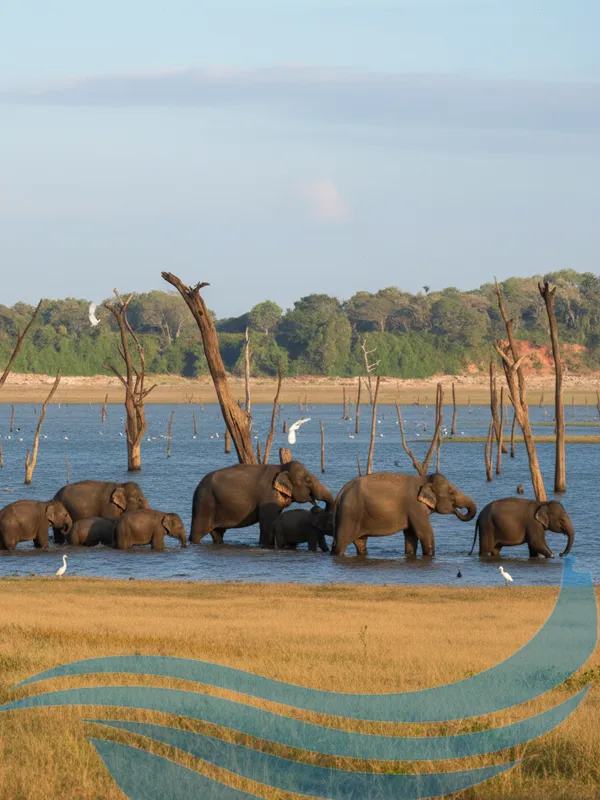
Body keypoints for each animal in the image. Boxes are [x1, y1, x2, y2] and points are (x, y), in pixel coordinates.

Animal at [190, 460, 335, 547]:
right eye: (308, 480)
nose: (319, 507)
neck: (282, 467)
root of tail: (198, 486)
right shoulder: (268, 495)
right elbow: (267, 524)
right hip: (204, 503)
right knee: (197, 532)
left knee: (217, 533)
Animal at [332, 472, 477, 557]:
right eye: (452, 493)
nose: (457, 509)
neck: (424, 479)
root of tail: (341, 492)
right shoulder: (415, 506)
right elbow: (425, 534)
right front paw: (430, 556)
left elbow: (411, 535)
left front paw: (410, 554)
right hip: (349, 515)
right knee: (341, 543)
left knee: (360, 542)